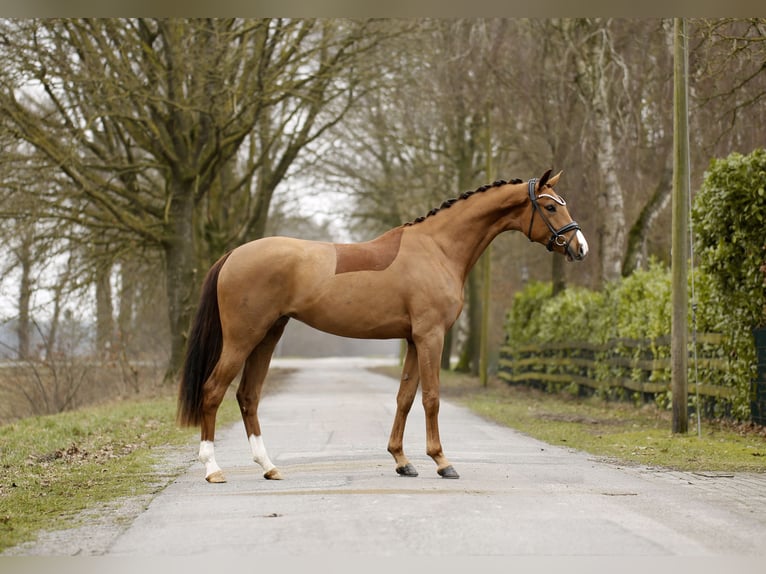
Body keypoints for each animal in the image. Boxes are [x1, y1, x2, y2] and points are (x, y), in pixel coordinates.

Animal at [177, 169, 588, 483]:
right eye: (550, 205)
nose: (580, 247)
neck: (437, 249)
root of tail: (234, 254)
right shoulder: (430, 337)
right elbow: (431, 397)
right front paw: (442, 462)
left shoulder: (413, 340)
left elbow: (404, 398)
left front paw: (402, 461)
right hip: (242, 338)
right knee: (213, 391)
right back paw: (213, 469)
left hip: (267, 336)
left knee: (248, 396)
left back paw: (269, 466)